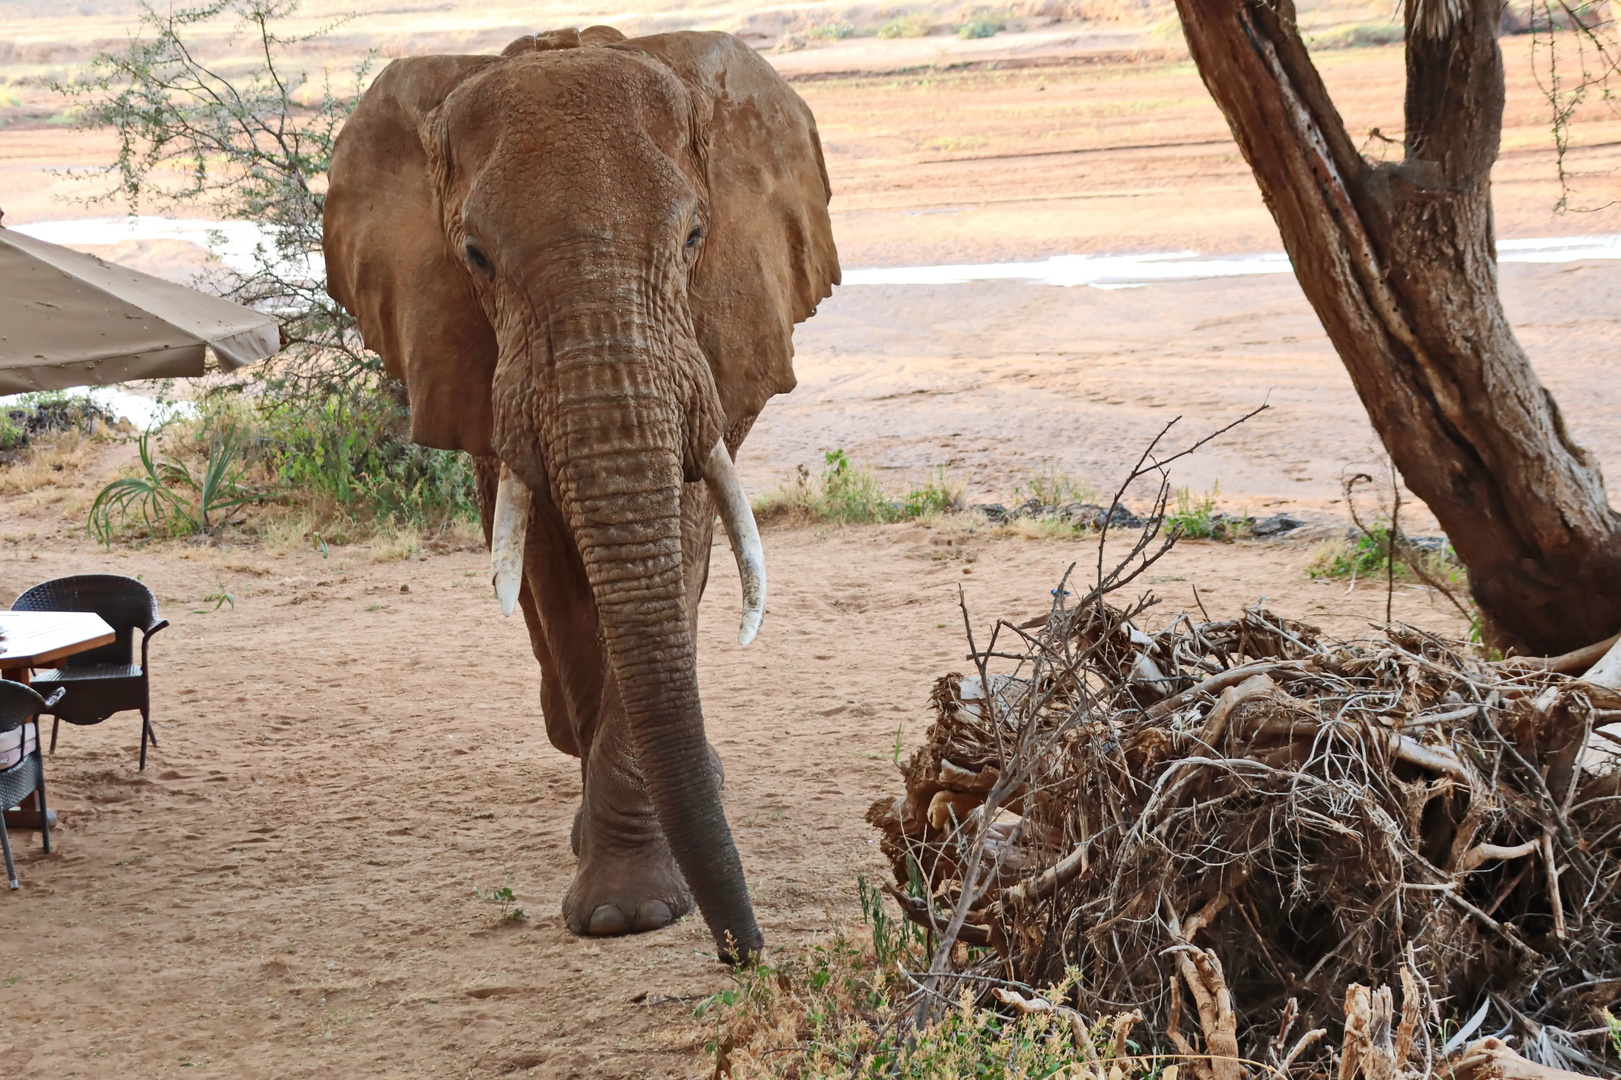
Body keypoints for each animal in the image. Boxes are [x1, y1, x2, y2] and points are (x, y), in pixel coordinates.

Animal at [322, 25, 842, 953]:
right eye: (474, 257)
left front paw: (631, 911)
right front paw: (621, 909)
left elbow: (677, 547)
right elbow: (556, 578)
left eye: (695, 236)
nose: (745, 954)